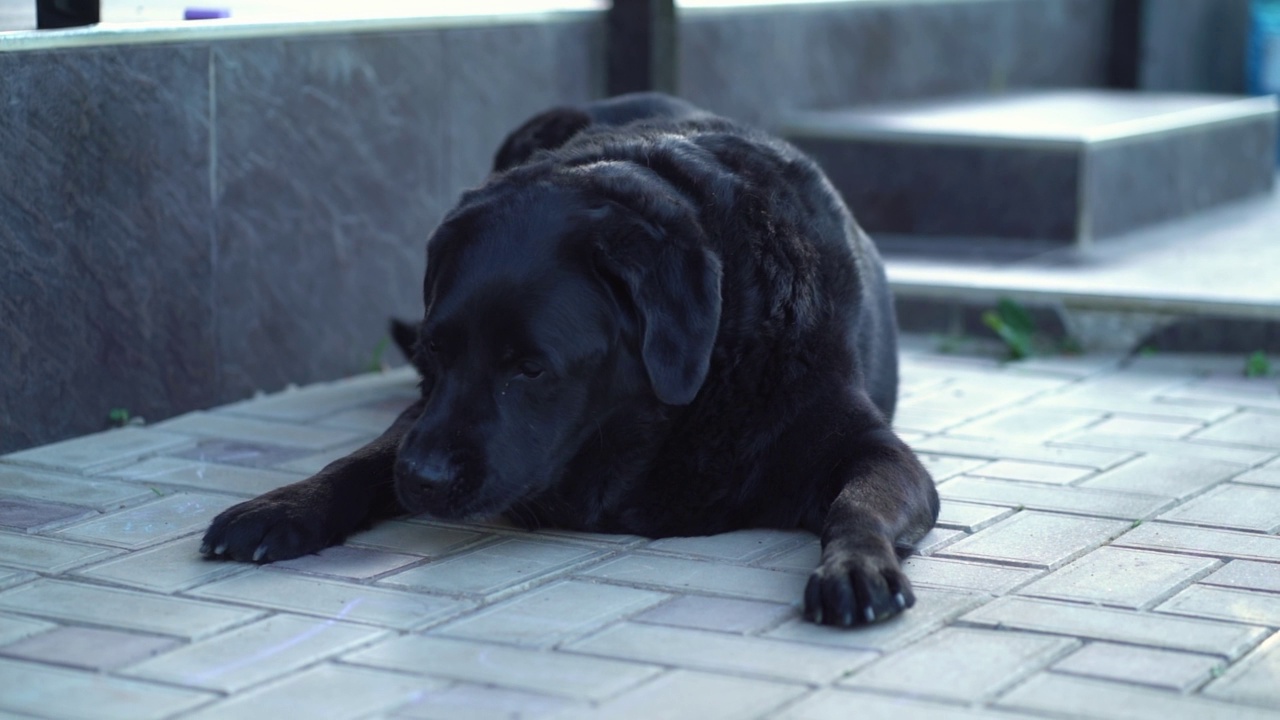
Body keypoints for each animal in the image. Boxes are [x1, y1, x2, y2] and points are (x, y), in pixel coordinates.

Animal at [202, 94, 942, 622]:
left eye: (530, 368)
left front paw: (856, 569)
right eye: (439, 349)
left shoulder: (868, 444)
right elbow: (358, 460)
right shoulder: (422, 415)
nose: (425, 479)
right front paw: (284, 506)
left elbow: (857, 504)